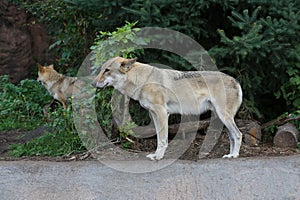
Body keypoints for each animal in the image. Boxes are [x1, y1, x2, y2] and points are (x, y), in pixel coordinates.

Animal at [92, 57, 243, 160]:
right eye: (101, 70)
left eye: (107, 70)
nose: (93, 83)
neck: (143, 80)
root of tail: (235, 80)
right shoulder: (154, 114)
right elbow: (159, 138)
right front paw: (155, 155)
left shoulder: (162, 113)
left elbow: (163, 139)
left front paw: (158, 157)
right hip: (222, 118)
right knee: (232, 136)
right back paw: (230, 155)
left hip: (224, 116)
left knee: (238, 134)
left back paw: (235, 155)